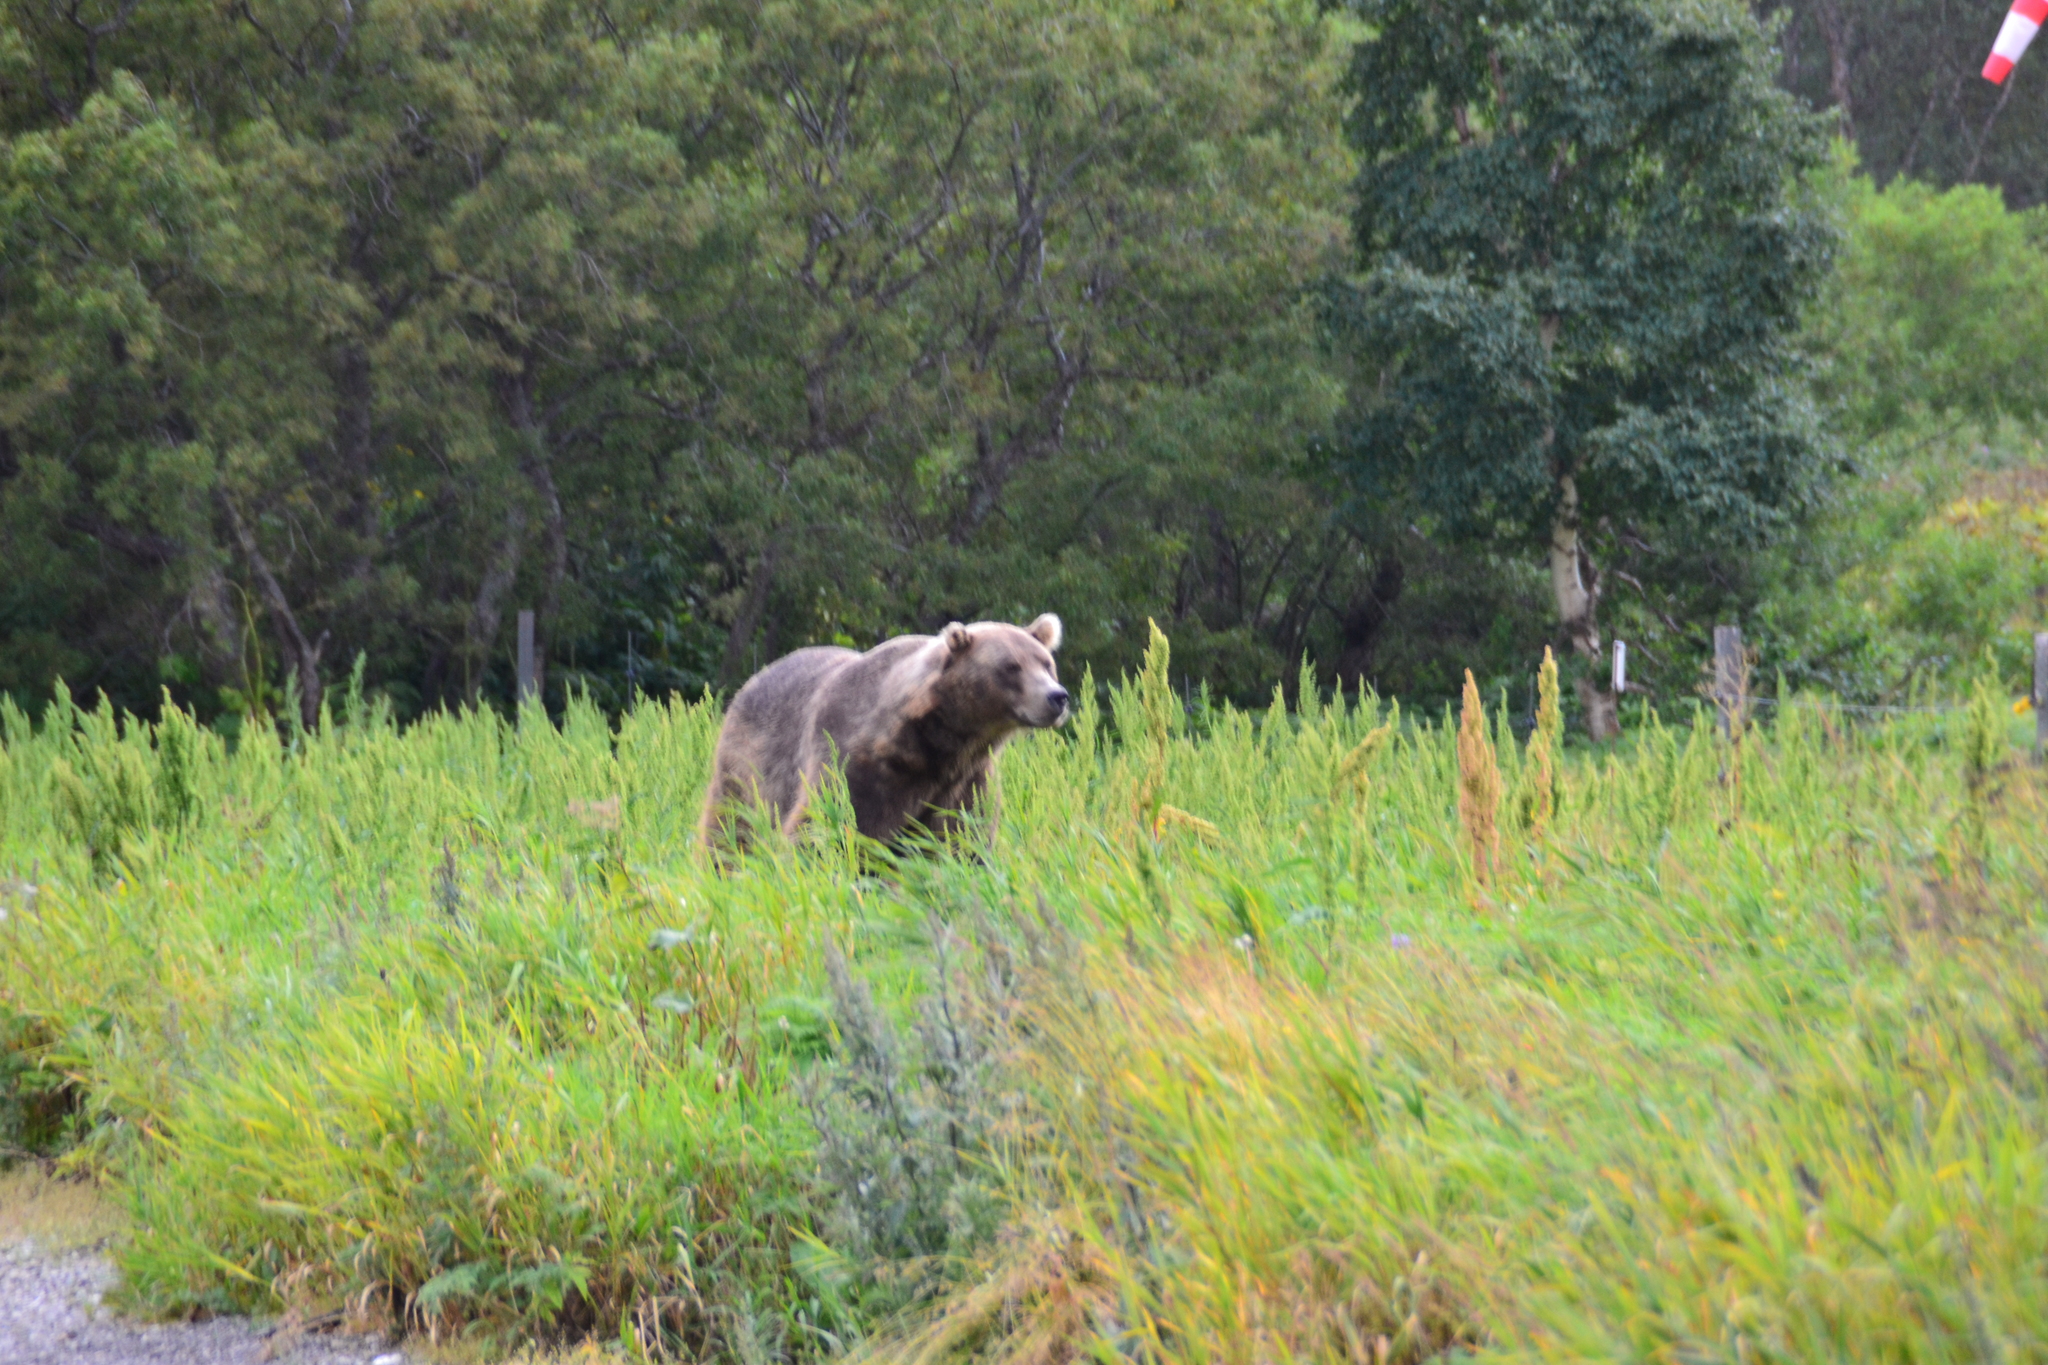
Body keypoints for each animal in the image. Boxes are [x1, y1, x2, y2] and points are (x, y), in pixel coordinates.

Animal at [704, 618, 1064, 855]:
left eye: (1046, 663)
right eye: (1011, 666)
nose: (1057, 697)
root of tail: (752, 679)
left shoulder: (966, 779)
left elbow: (961, 838)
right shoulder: (856, 766)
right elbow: (824, 831)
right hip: (749, 766)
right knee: (729, 827)